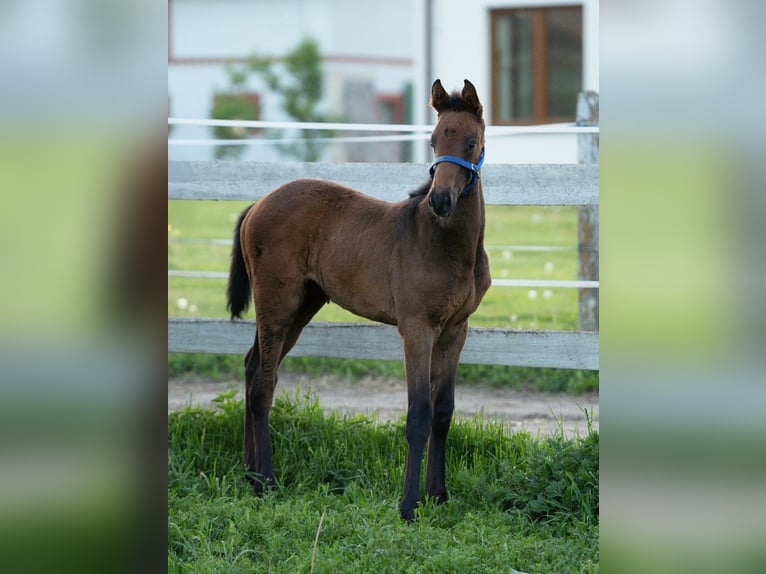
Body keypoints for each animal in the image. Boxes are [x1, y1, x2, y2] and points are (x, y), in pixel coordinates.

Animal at [227, 79, 491, 521]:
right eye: (435, 140)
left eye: (470, 142)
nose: (440, 201)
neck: (449, 243)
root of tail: (257, 204)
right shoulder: (416, 328)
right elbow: (418, 414)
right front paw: (408, 505)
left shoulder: (456, 330)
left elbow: (443, 411)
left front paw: (439, 495)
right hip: (277, 300)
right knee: (263, 382)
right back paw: (266, 481)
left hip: (304, 304)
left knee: (253, 367)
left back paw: (248, 471)